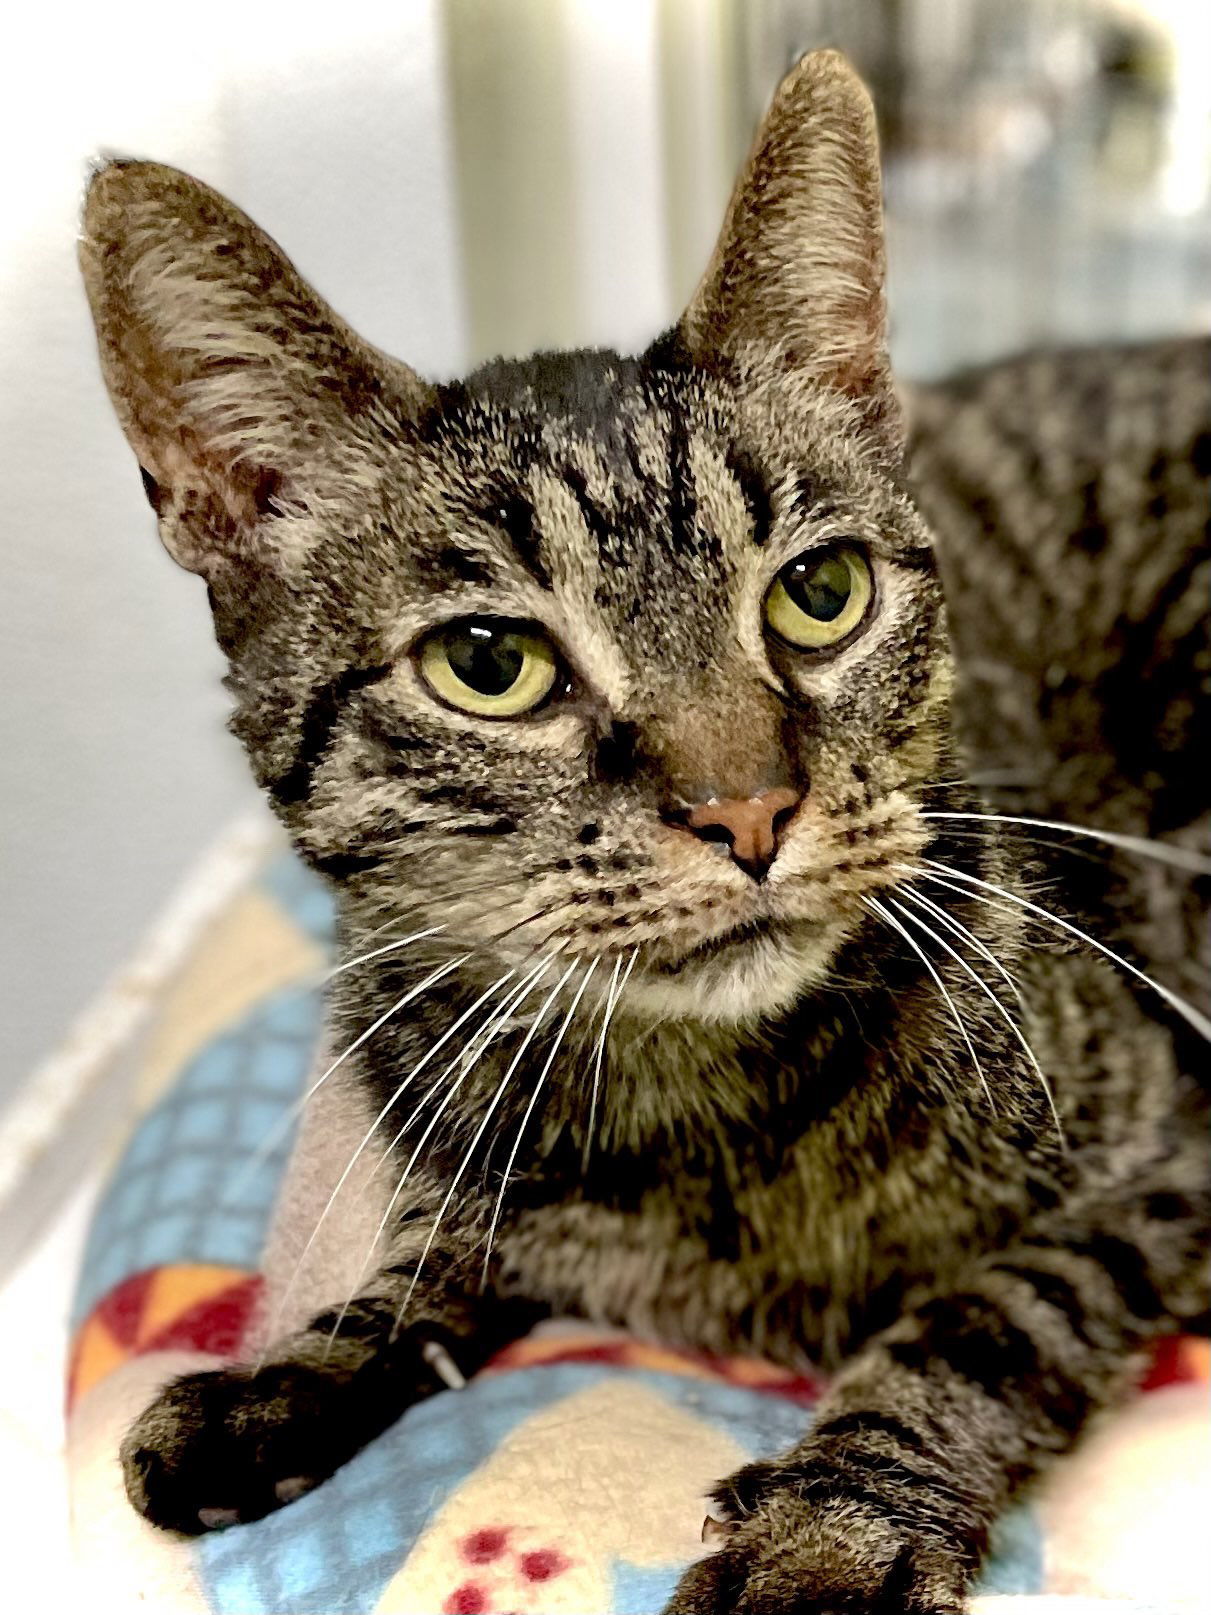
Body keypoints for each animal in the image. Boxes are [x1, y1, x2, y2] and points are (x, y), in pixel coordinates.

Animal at [80, 50, 1207, 1615]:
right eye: (488, 662)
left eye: (819, 592)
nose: (747, 808)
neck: (693, 1107)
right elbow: (432, 1254)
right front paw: (289, 1372)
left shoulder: (1167, 1153)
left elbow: (986, 1315)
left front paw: (828, 1531)